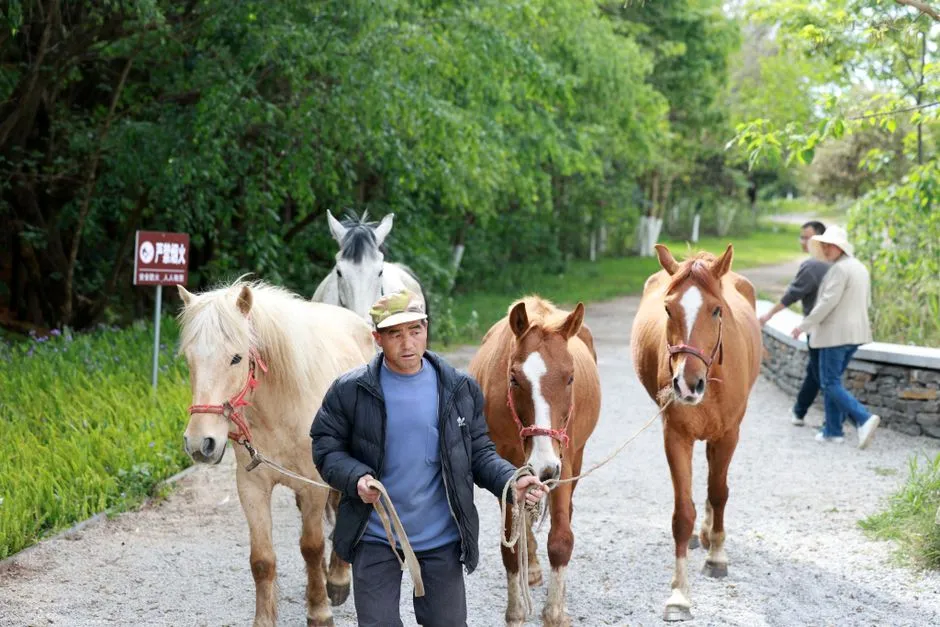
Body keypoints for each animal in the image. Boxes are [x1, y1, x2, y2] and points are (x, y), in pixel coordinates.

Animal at [177, 278, 376, 627]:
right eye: (189, 360)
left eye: (236, 358)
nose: (200, 443)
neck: (278, 408)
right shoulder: (252, 487)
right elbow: (262, 560)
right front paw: (266, 618)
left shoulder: (313, 486)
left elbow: (311, 546)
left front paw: (319, 610)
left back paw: (337, 579)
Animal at [468, 296, 601, 627]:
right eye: (514, 379)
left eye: (570, 377)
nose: (544, 466)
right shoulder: (507, 469)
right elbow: (511, 544)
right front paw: (515, 611)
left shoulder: (564, 465)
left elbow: (561, 539)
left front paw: (554, 611)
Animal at [630, 244, 761, 622]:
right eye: (667, 308)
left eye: (717, 310)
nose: (688, 384)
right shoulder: (676, 436)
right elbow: (682, 513)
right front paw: (679, 596)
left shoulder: (728, 434)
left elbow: (719, 492)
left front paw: (717, 556)